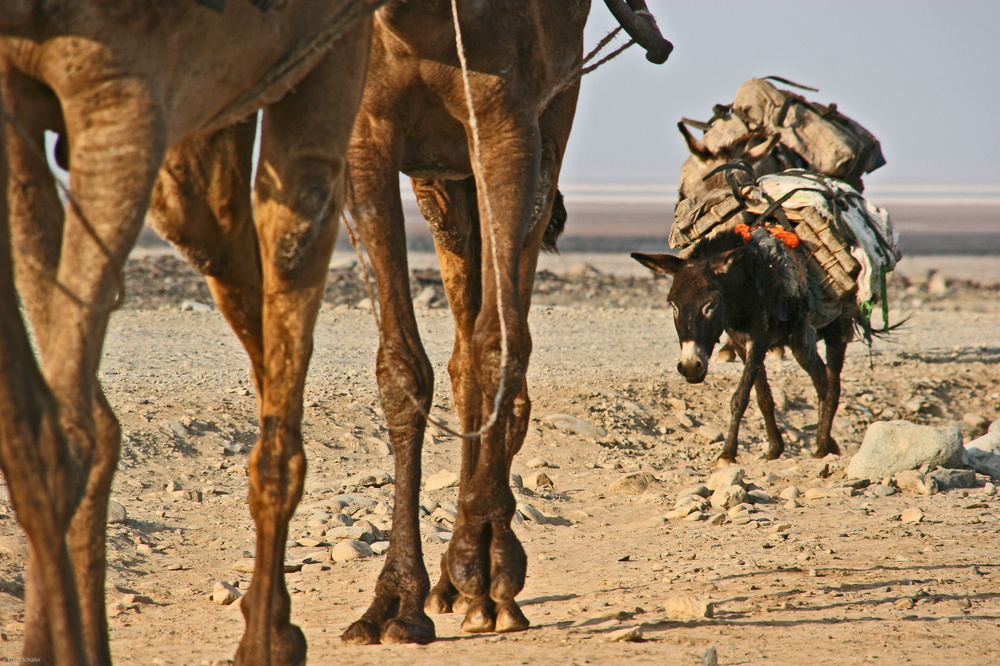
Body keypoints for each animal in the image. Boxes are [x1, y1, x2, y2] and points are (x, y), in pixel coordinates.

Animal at [342, 0, 672, 644]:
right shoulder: (364, 135)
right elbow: (401, 369)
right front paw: (394, 603)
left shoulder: (508, 125)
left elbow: (499, 346)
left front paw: (488, 567)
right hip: (442, 180)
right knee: (462, 354)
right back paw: (447, 587)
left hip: (547, 124)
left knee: (496, 344)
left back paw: (474, 578)